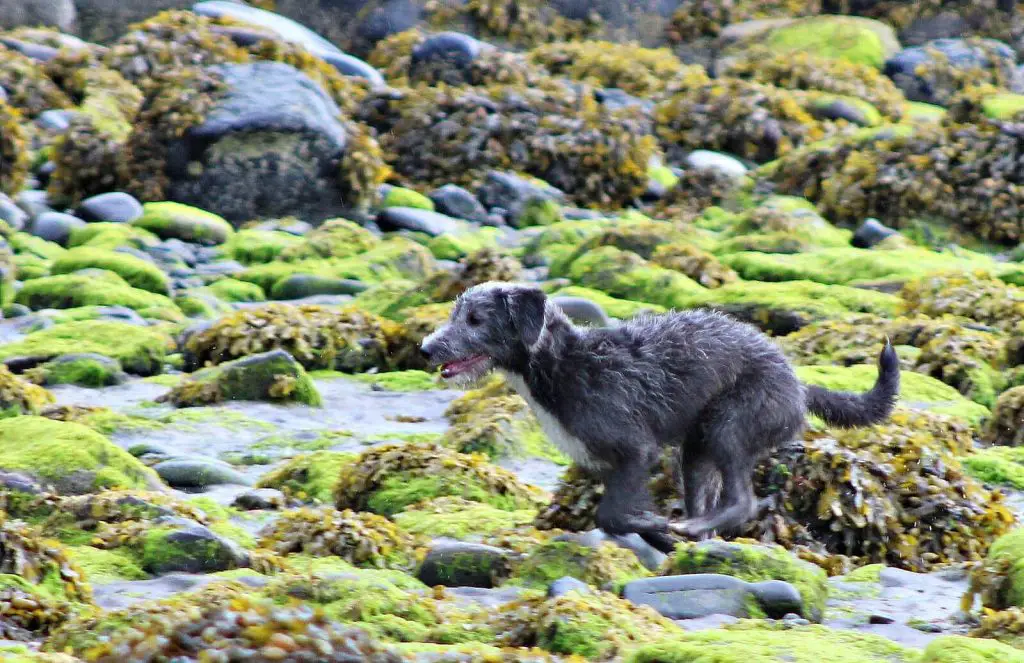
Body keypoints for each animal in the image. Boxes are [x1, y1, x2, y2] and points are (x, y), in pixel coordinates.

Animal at [419, 282, 901, 553]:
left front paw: (654, 526)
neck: (564, 365)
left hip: (732, 422)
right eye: (454, 314)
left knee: (741, 501)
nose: (425, 349)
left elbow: (611, 516)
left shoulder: (636, 449)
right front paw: (660, 536)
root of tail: (798, 385)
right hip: (696, 450)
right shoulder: (609, 464)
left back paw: (695, 525)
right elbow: (624, 512)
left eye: (475, 319)